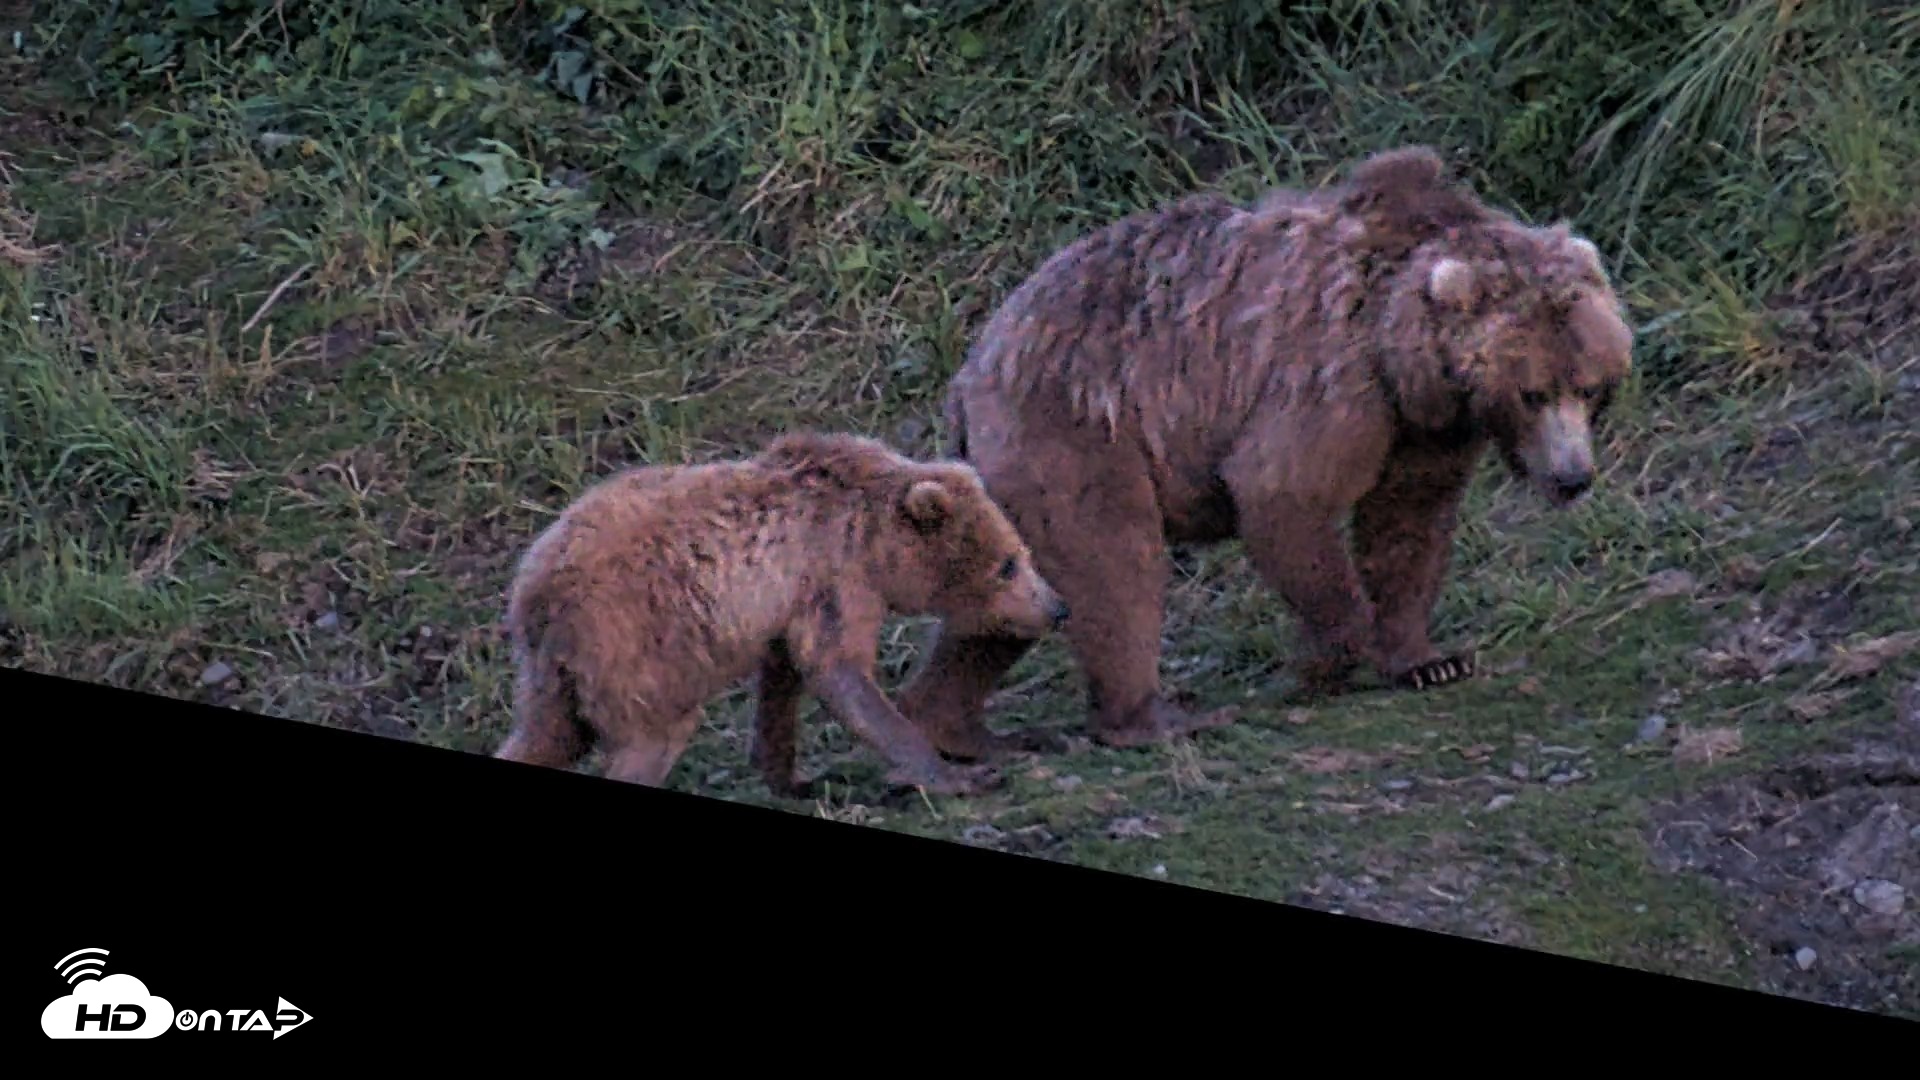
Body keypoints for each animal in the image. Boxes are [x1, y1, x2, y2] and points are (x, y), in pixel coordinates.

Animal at [490, 430, 1073, 798]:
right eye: (1008, 564)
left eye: (1019, 554)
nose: (1058, 607)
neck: (877, 539)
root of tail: (540, 594)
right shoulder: (835, 569)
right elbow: (840, 670)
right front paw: (957, 776)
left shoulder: (786, 600)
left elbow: (783, 680)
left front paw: (791, 778)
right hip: (638, 648)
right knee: (654, 735)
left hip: (552, 676)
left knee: (545, 736)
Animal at [894, 144, 1635, 758]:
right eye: (1534, 392)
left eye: (1591, 386)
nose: (1573, 477)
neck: (1406, 351)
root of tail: (972, 368)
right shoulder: (1331, 380)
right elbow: (1282, 495)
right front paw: (1327, 656)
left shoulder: (1422, 431)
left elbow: (1408, 526)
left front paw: (1429, 657)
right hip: (1075, 429)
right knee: (1115, 565)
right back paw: (1152, 718)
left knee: (1003, 591)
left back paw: (947, 725)